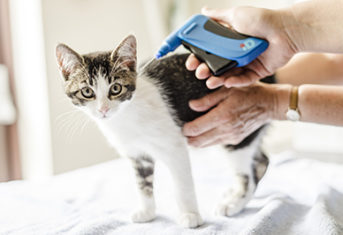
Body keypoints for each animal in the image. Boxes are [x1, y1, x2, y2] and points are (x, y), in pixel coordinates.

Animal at [55, 35, 272, 228]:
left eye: (116, 88)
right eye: (87, 92)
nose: (103, 110)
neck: (124, 117)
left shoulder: (174, 146)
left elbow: (182, 185)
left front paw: (190, 215)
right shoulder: (137, 154)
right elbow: (143, 184)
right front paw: (147, 211)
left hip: (234, 127)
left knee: (247, 173)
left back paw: (235, 202)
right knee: (261, 160)